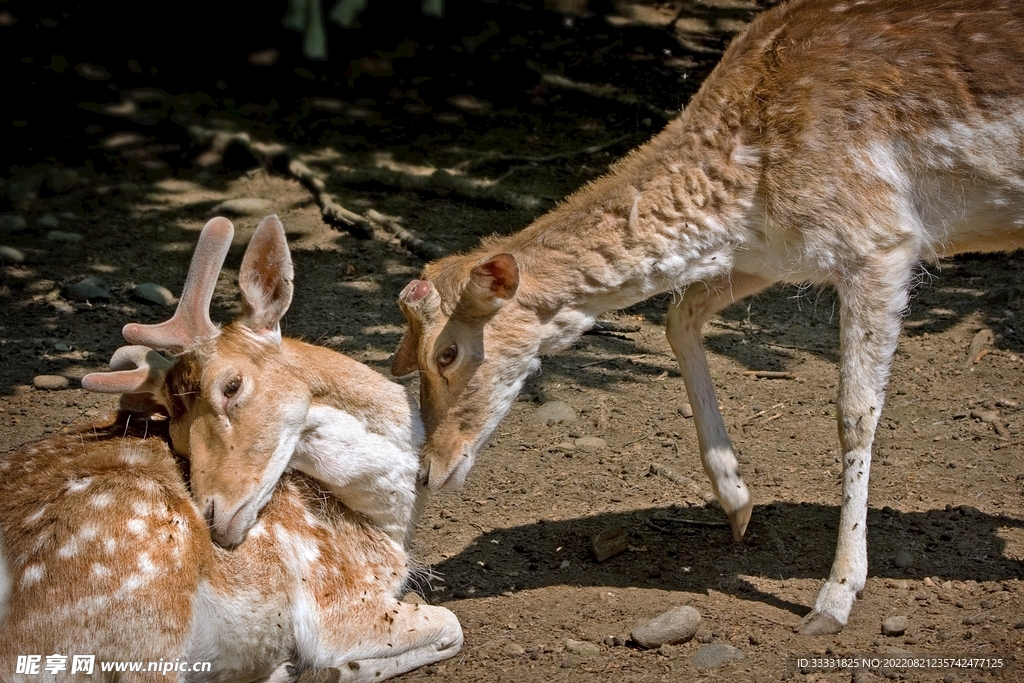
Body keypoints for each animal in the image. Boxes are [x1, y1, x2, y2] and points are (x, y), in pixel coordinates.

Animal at [0, 215, 463, 681]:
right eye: (177, 439)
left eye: (231, 386)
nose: (210, 516)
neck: (387, 526)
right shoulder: (340, 602)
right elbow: (449, 623)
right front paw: (333, 668)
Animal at [391, 0, 1024, 635]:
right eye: (408, 361)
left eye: (447, 353)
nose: (428, 471)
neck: (750, 181)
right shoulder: (771, 252)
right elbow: (679, 315)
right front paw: (738, 502)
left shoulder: (881, 239)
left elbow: (854, 411)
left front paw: (835, 598)